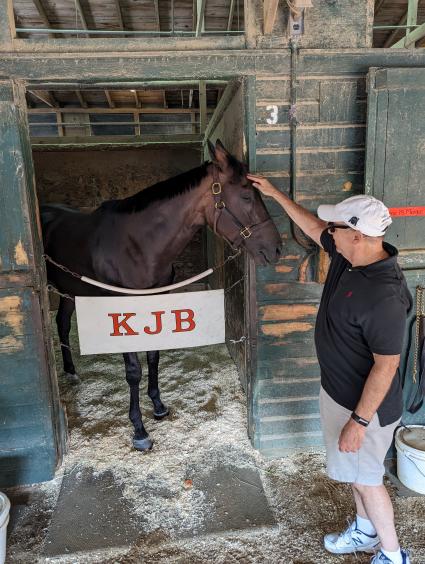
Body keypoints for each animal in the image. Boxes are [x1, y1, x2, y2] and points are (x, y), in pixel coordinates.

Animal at [41, 139, 282, 452]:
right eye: (246, 196)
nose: (276, 248)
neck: (137, 245)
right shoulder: (122, 312)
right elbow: (134, 370)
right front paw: (139, 430)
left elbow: (154, 355)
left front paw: (157, 406)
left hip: (70, 291)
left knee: (62, 323)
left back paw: (70, 371)